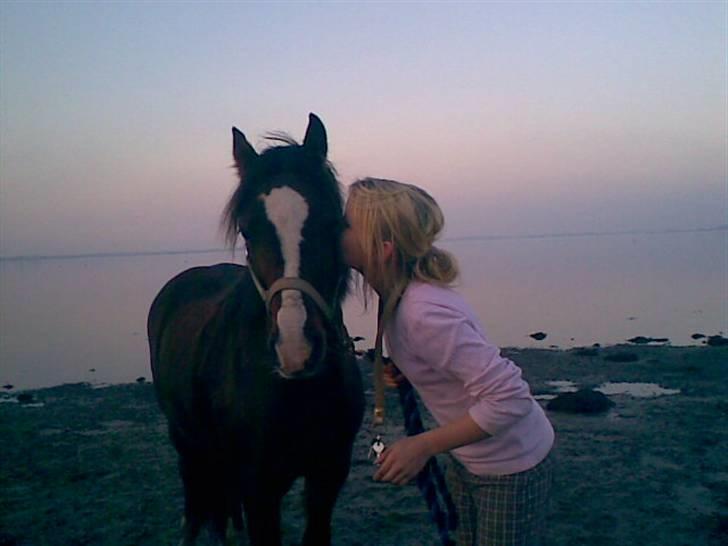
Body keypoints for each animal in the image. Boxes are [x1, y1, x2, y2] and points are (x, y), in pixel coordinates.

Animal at [148, 114, 365, 545]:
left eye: (332, 223)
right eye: (248, 231)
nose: (296, 349)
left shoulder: (328, 475)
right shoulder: (260, 489)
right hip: (186, 441)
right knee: (197, 503)